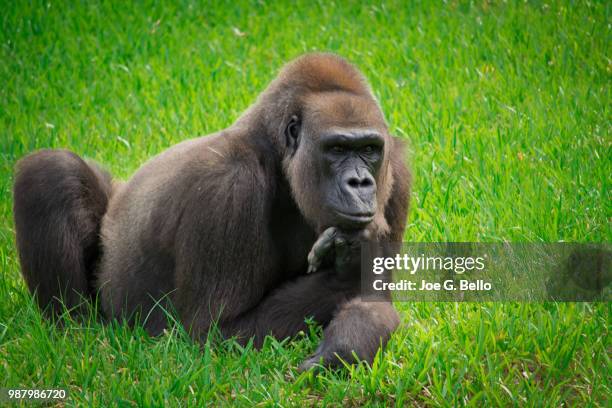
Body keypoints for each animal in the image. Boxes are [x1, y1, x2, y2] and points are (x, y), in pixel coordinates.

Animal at [11, 51, 412, 370]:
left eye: (369, 149)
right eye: (337, 149)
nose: (360, 183)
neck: (275, 152)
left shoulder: (397, 170)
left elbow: (374, 300)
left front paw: (342, 348)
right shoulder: (228, 186)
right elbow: (216, 333)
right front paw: (351, 266)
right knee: (51, 172)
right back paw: (76, 335)